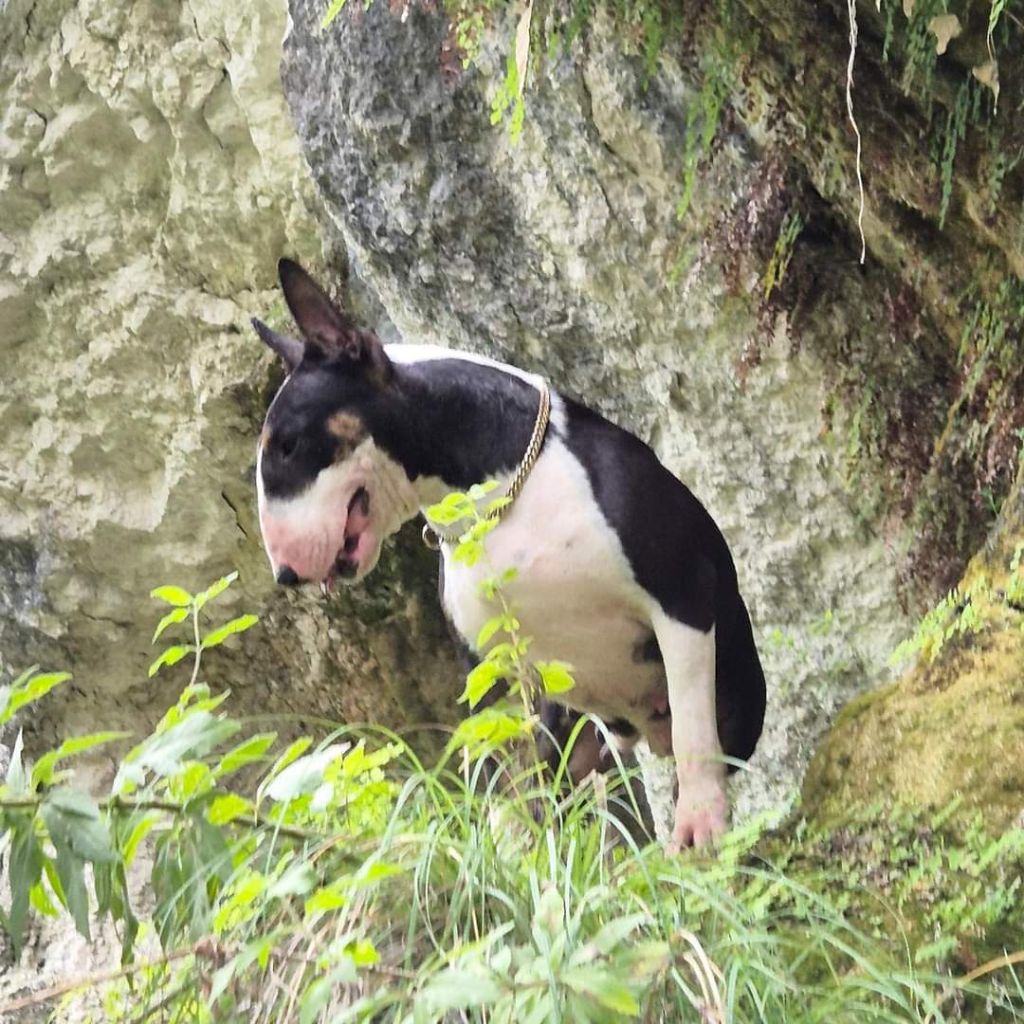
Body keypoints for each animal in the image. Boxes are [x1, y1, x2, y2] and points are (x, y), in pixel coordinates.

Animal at [253, 260, 770, 851]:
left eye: (287, 445)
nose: (284, 573)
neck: (495, 499)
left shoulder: (679, 600)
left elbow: (693, 730)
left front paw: (699, 827)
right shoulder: (489, 670)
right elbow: (501, 767)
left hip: (736, 694)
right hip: (569, 724)